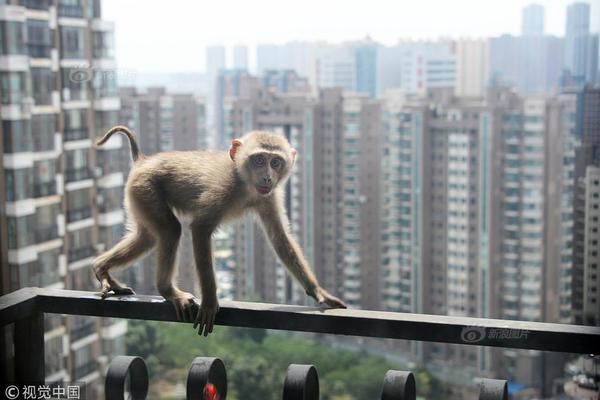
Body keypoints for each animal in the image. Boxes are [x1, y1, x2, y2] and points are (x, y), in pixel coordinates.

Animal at [94, 125, 346, 334]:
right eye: (258, 160)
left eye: (275, 162)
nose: (267, 177)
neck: (243, 181)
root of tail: (142, 161)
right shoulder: (221, 189)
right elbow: (200, 229)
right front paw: (209, 301)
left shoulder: (268, 196)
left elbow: (280, 238)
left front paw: (318, 292)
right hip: (146, 188)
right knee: (170, 231)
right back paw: (167, 290)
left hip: (138, 196)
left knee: (147, 237)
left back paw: (101, 267)